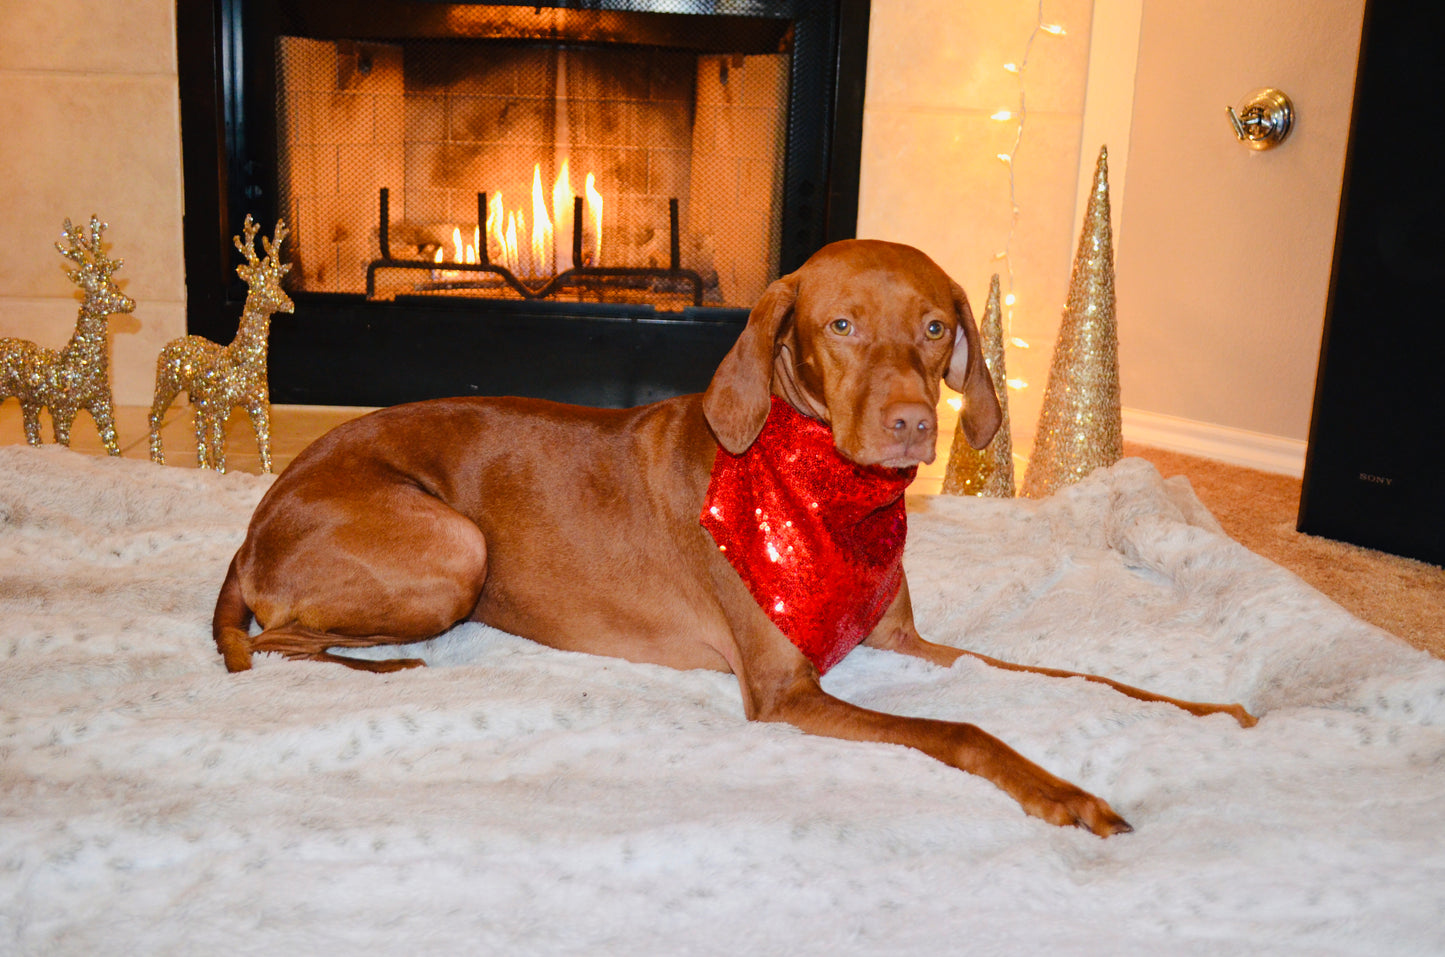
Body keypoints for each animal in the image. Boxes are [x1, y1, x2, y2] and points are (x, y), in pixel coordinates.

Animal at [213, 241, 1254, 838]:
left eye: (932, 327)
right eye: (840, 325)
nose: (915, 425)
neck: (828, 494)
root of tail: (262, 510)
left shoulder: (908, 640)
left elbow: (1078, 676)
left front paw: (1203, 709)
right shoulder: (787, 692)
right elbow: (963, 727)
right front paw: (1062, 792)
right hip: (455, 547)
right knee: (278, 638)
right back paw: (388, 665)